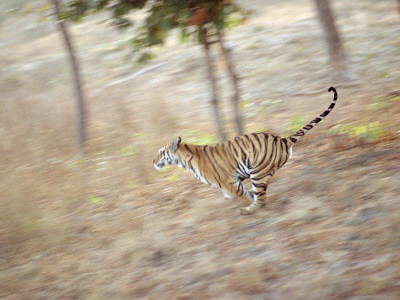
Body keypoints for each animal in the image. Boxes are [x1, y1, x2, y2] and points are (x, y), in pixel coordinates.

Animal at [153, 85, 338, 214]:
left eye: (160, 152)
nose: (153, 161)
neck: (185, 160)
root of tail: (283, 139)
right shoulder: (234, 180)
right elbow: (243, 194)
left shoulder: (229, 183)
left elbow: (245, 195)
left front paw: (247, 203)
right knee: (260, 196)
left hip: (258, 173)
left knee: (261, 198)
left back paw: (248, 211)